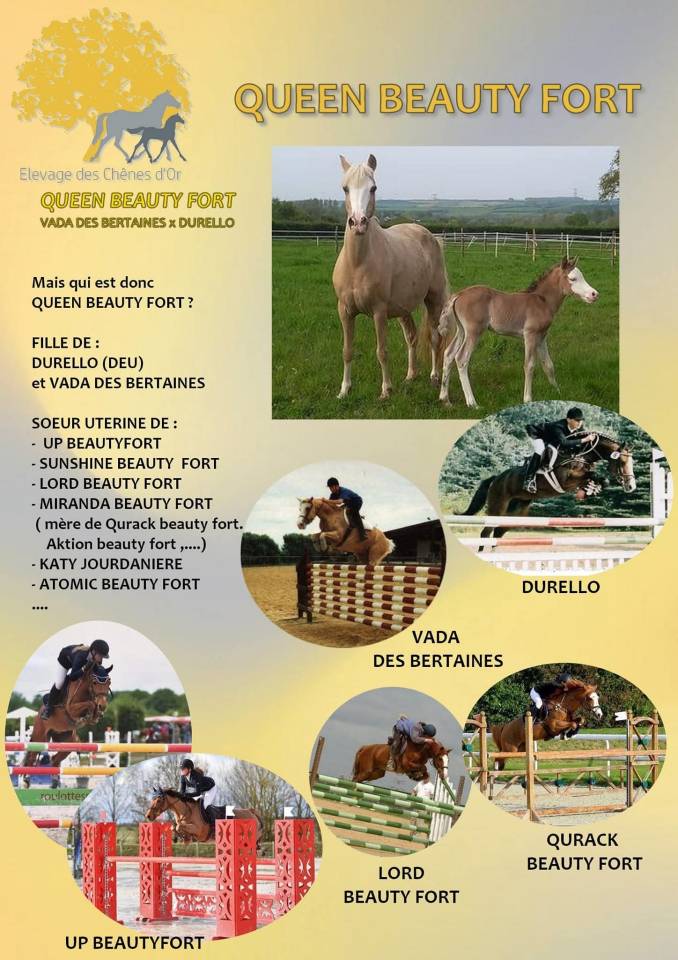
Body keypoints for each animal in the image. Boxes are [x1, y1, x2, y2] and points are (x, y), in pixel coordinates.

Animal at [332, 154, 449, 400]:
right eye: (345, 188)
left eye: (373, 187)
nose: (358, 222)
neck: (357, 263)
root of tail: (430, 236)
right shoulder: (345, 311)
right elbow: (347, 351)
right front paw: (344, 390)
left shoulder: (379, 312)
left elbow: (382, 351)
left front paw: (386, 390)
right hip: (403, 309)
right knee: (412, 337)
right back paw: (410, 376)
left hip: (433, 300)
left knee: (436, 338)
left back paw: (434, 377)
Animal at [437, 257, 598, 407]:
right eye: (573, 278)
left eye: (582, 276)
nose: (594, 294)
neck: (542, 301)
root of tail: (459, 294)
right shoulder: (530, 335)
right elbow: (529, 365)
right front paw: (528, 399)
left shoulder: (542, 337)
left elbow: (548, 365)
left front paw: (557, 392)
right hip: (474, 331)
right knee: (461, 359)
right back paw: (472, 403)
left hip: (461, 330)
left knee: (448, 354)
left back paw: (445, 399)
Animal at [463, 432, 636, 544]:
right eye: (622, 462)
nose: (631, 486)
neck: (580, 454)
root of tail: (496, 478)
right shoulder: (566, 481)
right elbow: (593, 475)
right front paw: (589, 489)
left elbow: (599, 478)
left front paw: (590, 490)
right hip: (497, 508)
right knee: (485, 533)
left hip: (517, 510)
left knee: (498, 533)